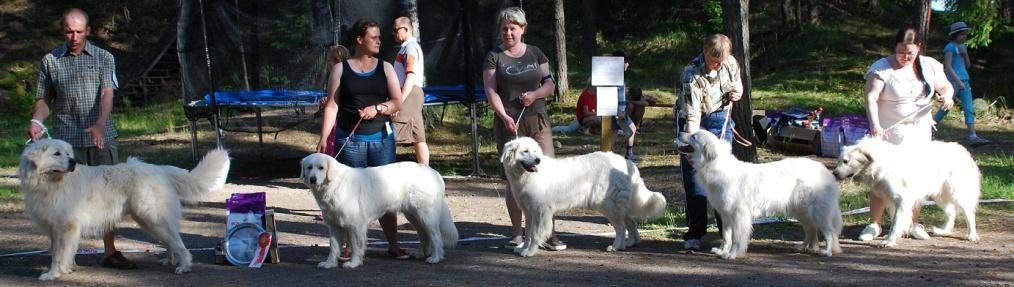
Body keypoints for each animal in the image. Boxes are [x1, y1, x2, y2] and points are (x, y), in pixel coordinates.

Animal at [17, 139, 230, 281]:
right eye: (57, 154)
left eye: (68, 154)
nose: (73, 162)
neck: (50, 183)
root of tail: (159, 169)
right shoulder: (55, 228)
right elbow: (60, 252)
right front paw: (67, 269)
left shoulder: (66, 226)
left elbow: (58, 255)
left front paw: (53, 274)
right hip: (147, 221)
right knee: (170, 240)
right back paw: (170, 261)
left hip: (152, 217)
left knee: (178, 243)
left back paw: (184, 266)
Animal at [300, 154, 460, 269]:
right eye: (309, 167)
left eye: (321, 168)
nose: (313, 179)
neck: (334, 184)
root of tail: (433, 172)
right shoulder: (334, 225)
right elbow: (333, 247)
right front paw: (329, 263)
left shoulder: (355, 225)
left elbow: (356, 246)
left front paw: (353, 263)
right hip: (413, 215)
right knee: (424, 235)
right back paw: (420, 253)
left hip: (425, 214)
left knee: (436, 236)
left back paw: (435, 258)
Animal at [500, 136, 673, 258]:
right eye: (525, 151)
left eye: (535, 151)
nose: (537, 160)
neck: (525, 176)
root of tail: (628, 163)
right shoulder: (529, 212)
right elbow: (528, 234)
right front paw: (523, 248)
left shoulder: (540, 212)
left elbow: (535, 234)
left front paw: (529, 252)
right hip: (619, 205)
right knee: (631, 223)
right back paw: (630, 242)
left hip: (609, 205)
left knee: (621, 227)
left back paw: (616, 246)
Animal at [677, 131, 843, 259]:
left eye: (694, 136)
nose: (680, 132)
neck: (715, 166)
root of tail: (825, 171)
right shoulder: (725, 215)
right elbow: (726, 236)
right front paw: (722, 251)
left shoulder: (738, 214)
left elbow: (736, 237)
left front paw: (732, 254)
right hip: (801, 210)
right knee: (811, 229)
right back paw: (804, 247)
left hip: (818, 212)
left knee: (829, 232)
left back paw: (827, 251)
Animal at [831, 137, 981, 247]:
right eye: (839, 161)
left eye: (846, 161)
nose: (834, 173)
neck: (878, 164)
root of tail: (963, 150)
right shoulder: (892, 200)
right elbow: (895, 220)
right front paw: (894, 236)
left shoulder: (901, 200)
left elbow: (896, 223)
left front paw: (889, 241)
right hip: (940, 194)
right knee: (951, 212)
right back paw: (944, 231)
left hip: (957, 193)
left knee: (969, 214)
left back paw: (972, 235)